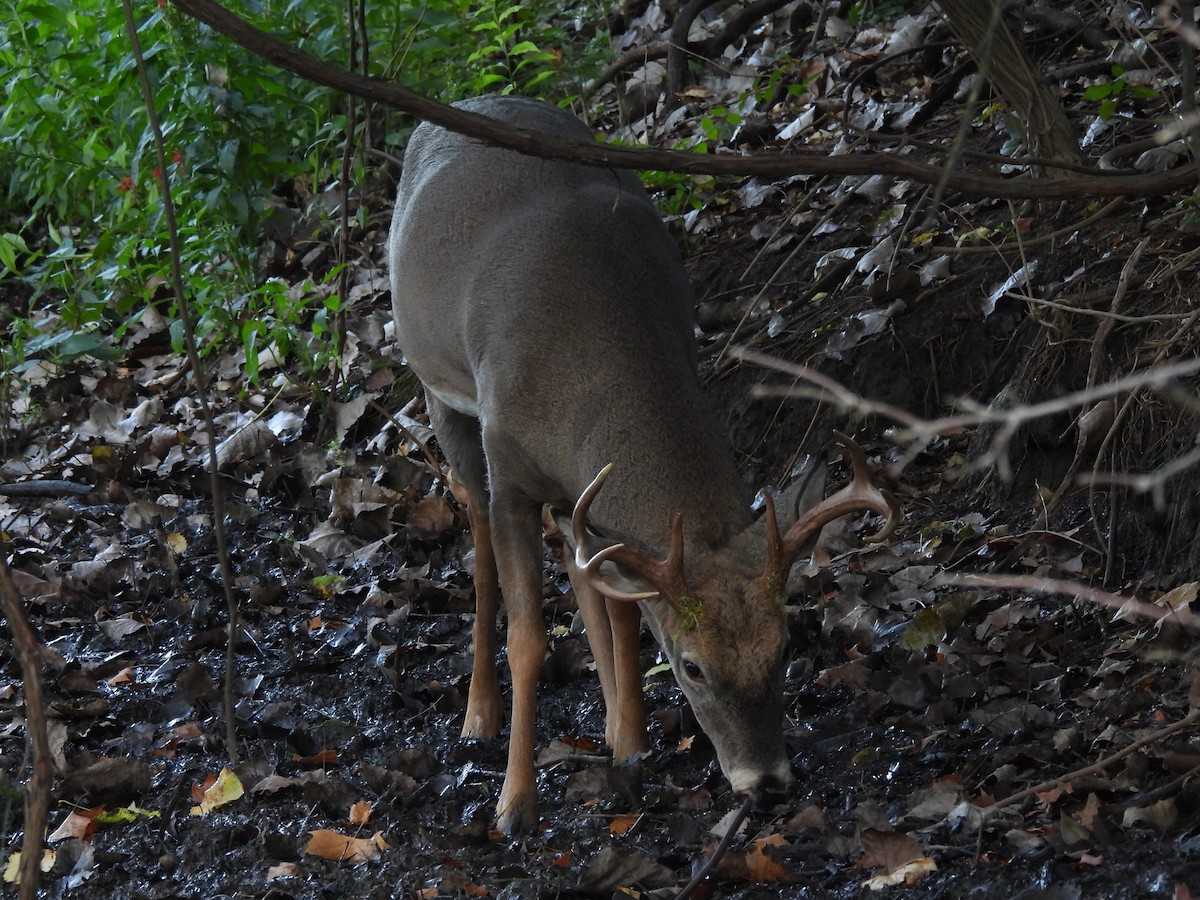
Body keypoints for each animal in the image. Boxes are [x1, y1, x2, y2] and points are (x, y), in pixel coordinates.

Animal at [387, 95, 899, 836]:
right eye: (691, 668)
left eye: (784, 647)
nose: (767, 783)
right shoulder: (509, 463)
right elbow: (530, 638)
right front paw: (514, 805)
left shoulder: (596, 494)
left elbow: (621, 608)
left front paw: (629, 744)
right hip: (438, 392)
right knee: (476, 532)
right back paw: (478, 715)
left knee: (581, 566)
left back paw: (607, 726)